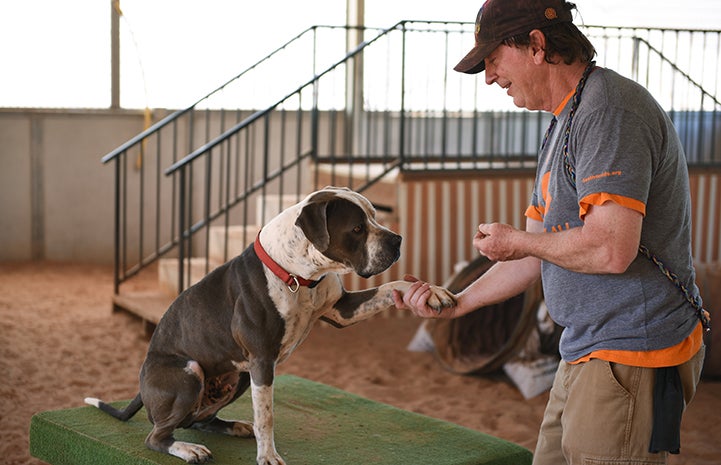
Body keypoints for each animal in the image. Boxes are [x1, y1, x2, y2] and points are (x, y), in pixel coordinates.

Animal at [86, 187, 456, 462]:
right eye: (357, 228)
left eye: (375, 217)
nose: (397, 240)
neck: (300, 276)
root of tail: (142, 383)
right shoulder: (263, 360)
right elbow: (267, 416)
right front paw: (268, 456)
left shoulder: (342, 310)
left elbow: (394, 286)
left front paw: (432, 292)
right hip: (191, 372)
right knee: (157, 435)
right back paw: (188, 450)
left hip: (237, 377)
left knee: (197, 420)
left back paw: (234, 427)